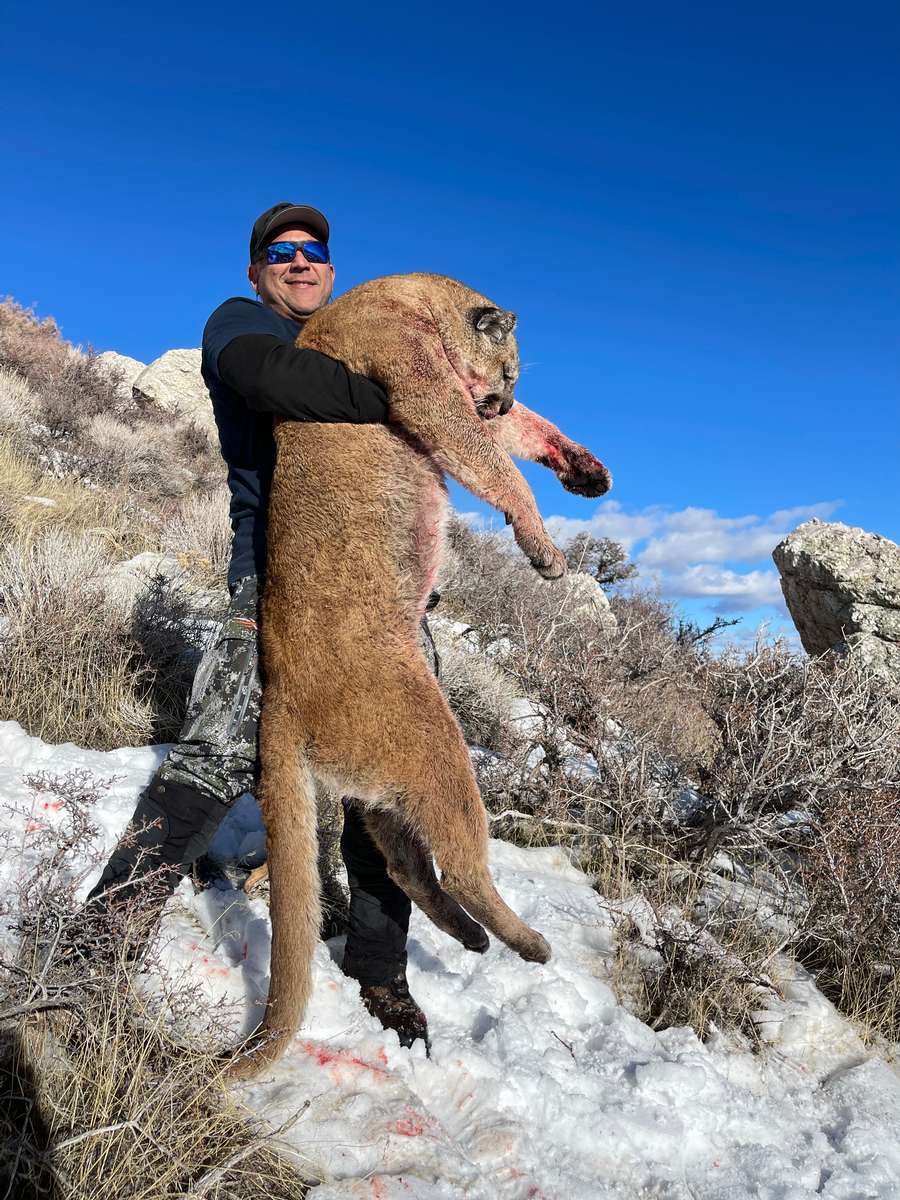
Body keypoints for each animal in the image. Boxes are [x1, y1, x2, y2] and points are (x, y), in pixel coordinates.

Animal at [234, 274, 614, 1080]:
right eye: (508, 370)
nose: (499, 398)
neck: (405, 298)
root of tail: (278, 699)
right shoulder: (422, 391)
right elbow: (494, 464)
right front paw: (545, 549)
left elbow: (525, 436)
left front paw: (585, 469)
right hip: (434, 741)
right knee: (462, 860)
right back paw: (524, 940)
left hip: (386, 781)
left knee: (404, 864)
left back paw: (471, 936)